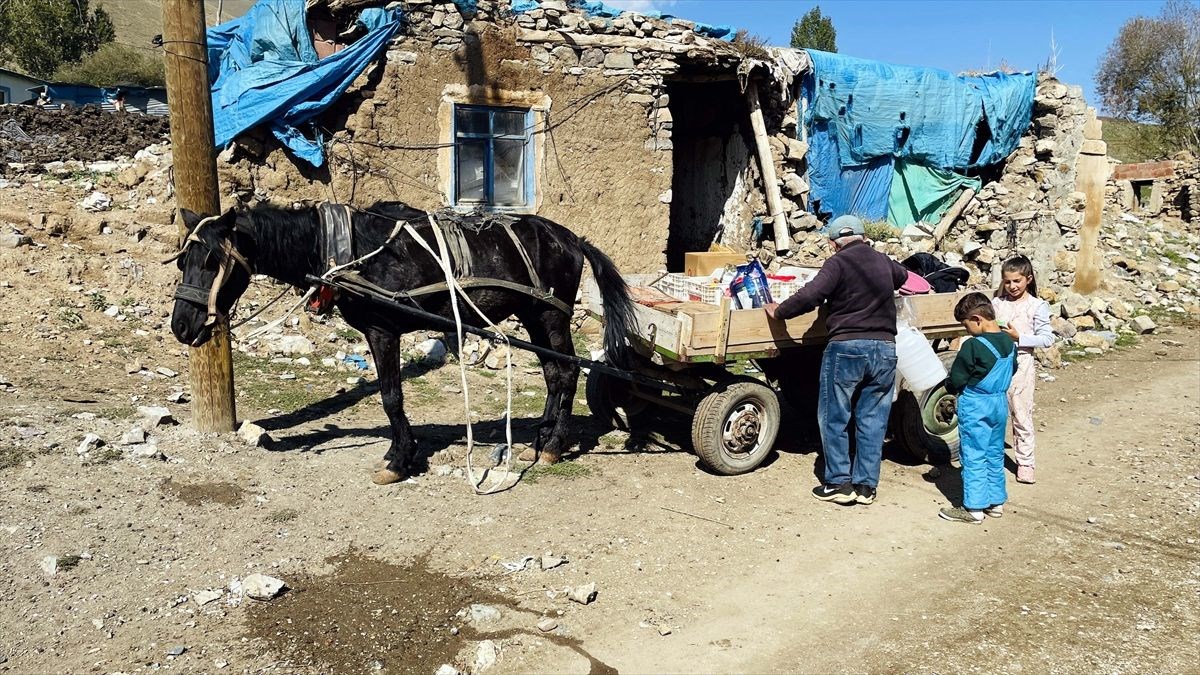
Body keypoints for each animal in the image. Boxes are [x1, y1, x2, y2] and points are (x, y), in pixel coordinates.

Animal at [171, 199, 638, 482]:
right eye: (182, 259)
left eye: (212, 260)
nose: (181, 326)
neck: (350, 252)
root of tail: (572, 238)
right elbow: (389, 394)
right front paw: (401, 452)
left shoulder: (383, 332)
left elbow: (391, 396)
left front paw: (399, 460)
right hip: (533, 316)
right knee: (554, 375)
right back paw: (539, 442)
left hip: (550, 315)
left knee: (568, 372)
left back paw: (554, 446)